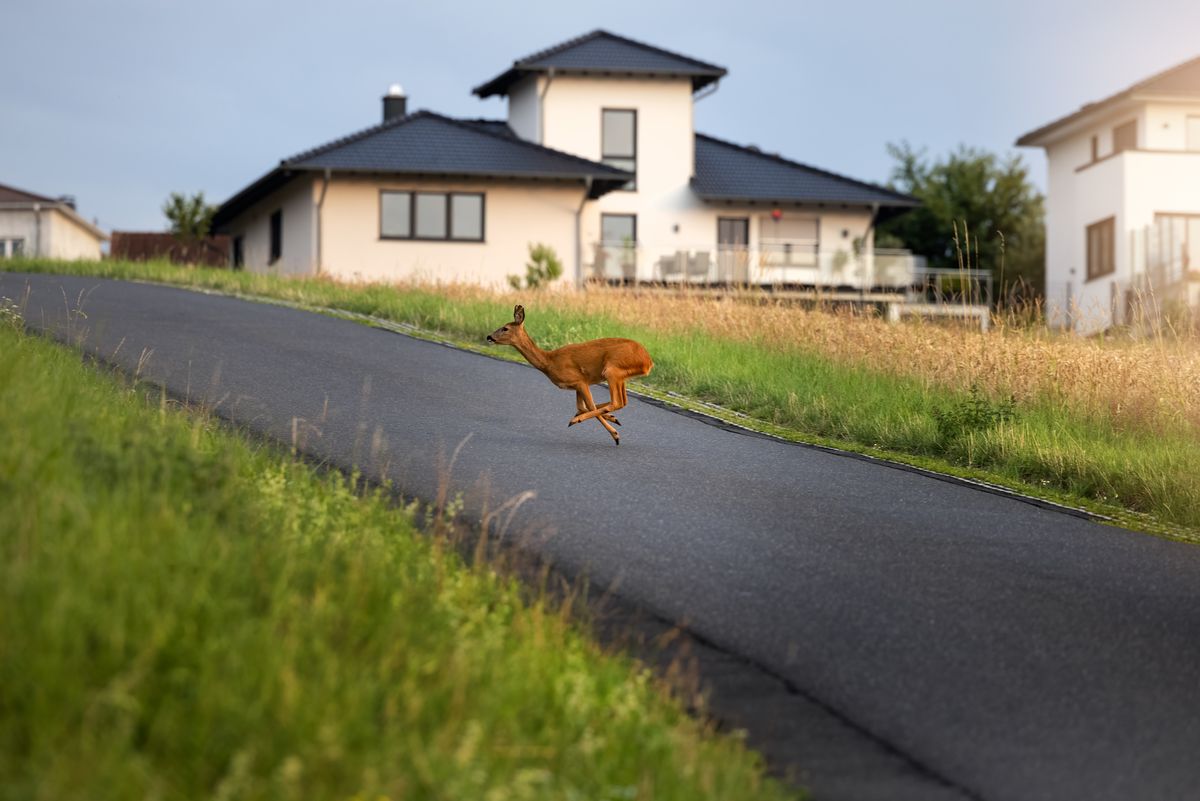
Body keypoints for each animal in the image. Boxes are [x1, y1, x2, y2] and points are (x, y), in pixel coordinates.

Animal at [486, 305, 653, 446]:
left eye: (505, 328)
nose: (489, 337)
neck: (549, 362)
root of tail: (648, 361)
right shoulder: (578, 385)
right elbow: (582, 406)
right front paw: (613, 419)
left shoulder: (579, 380)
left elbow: (588, 406)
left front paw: (614, 431)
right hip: (621, 376)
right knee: (623, 401)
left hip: (611, 370)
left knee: (617, 402)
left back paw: (586, 424)